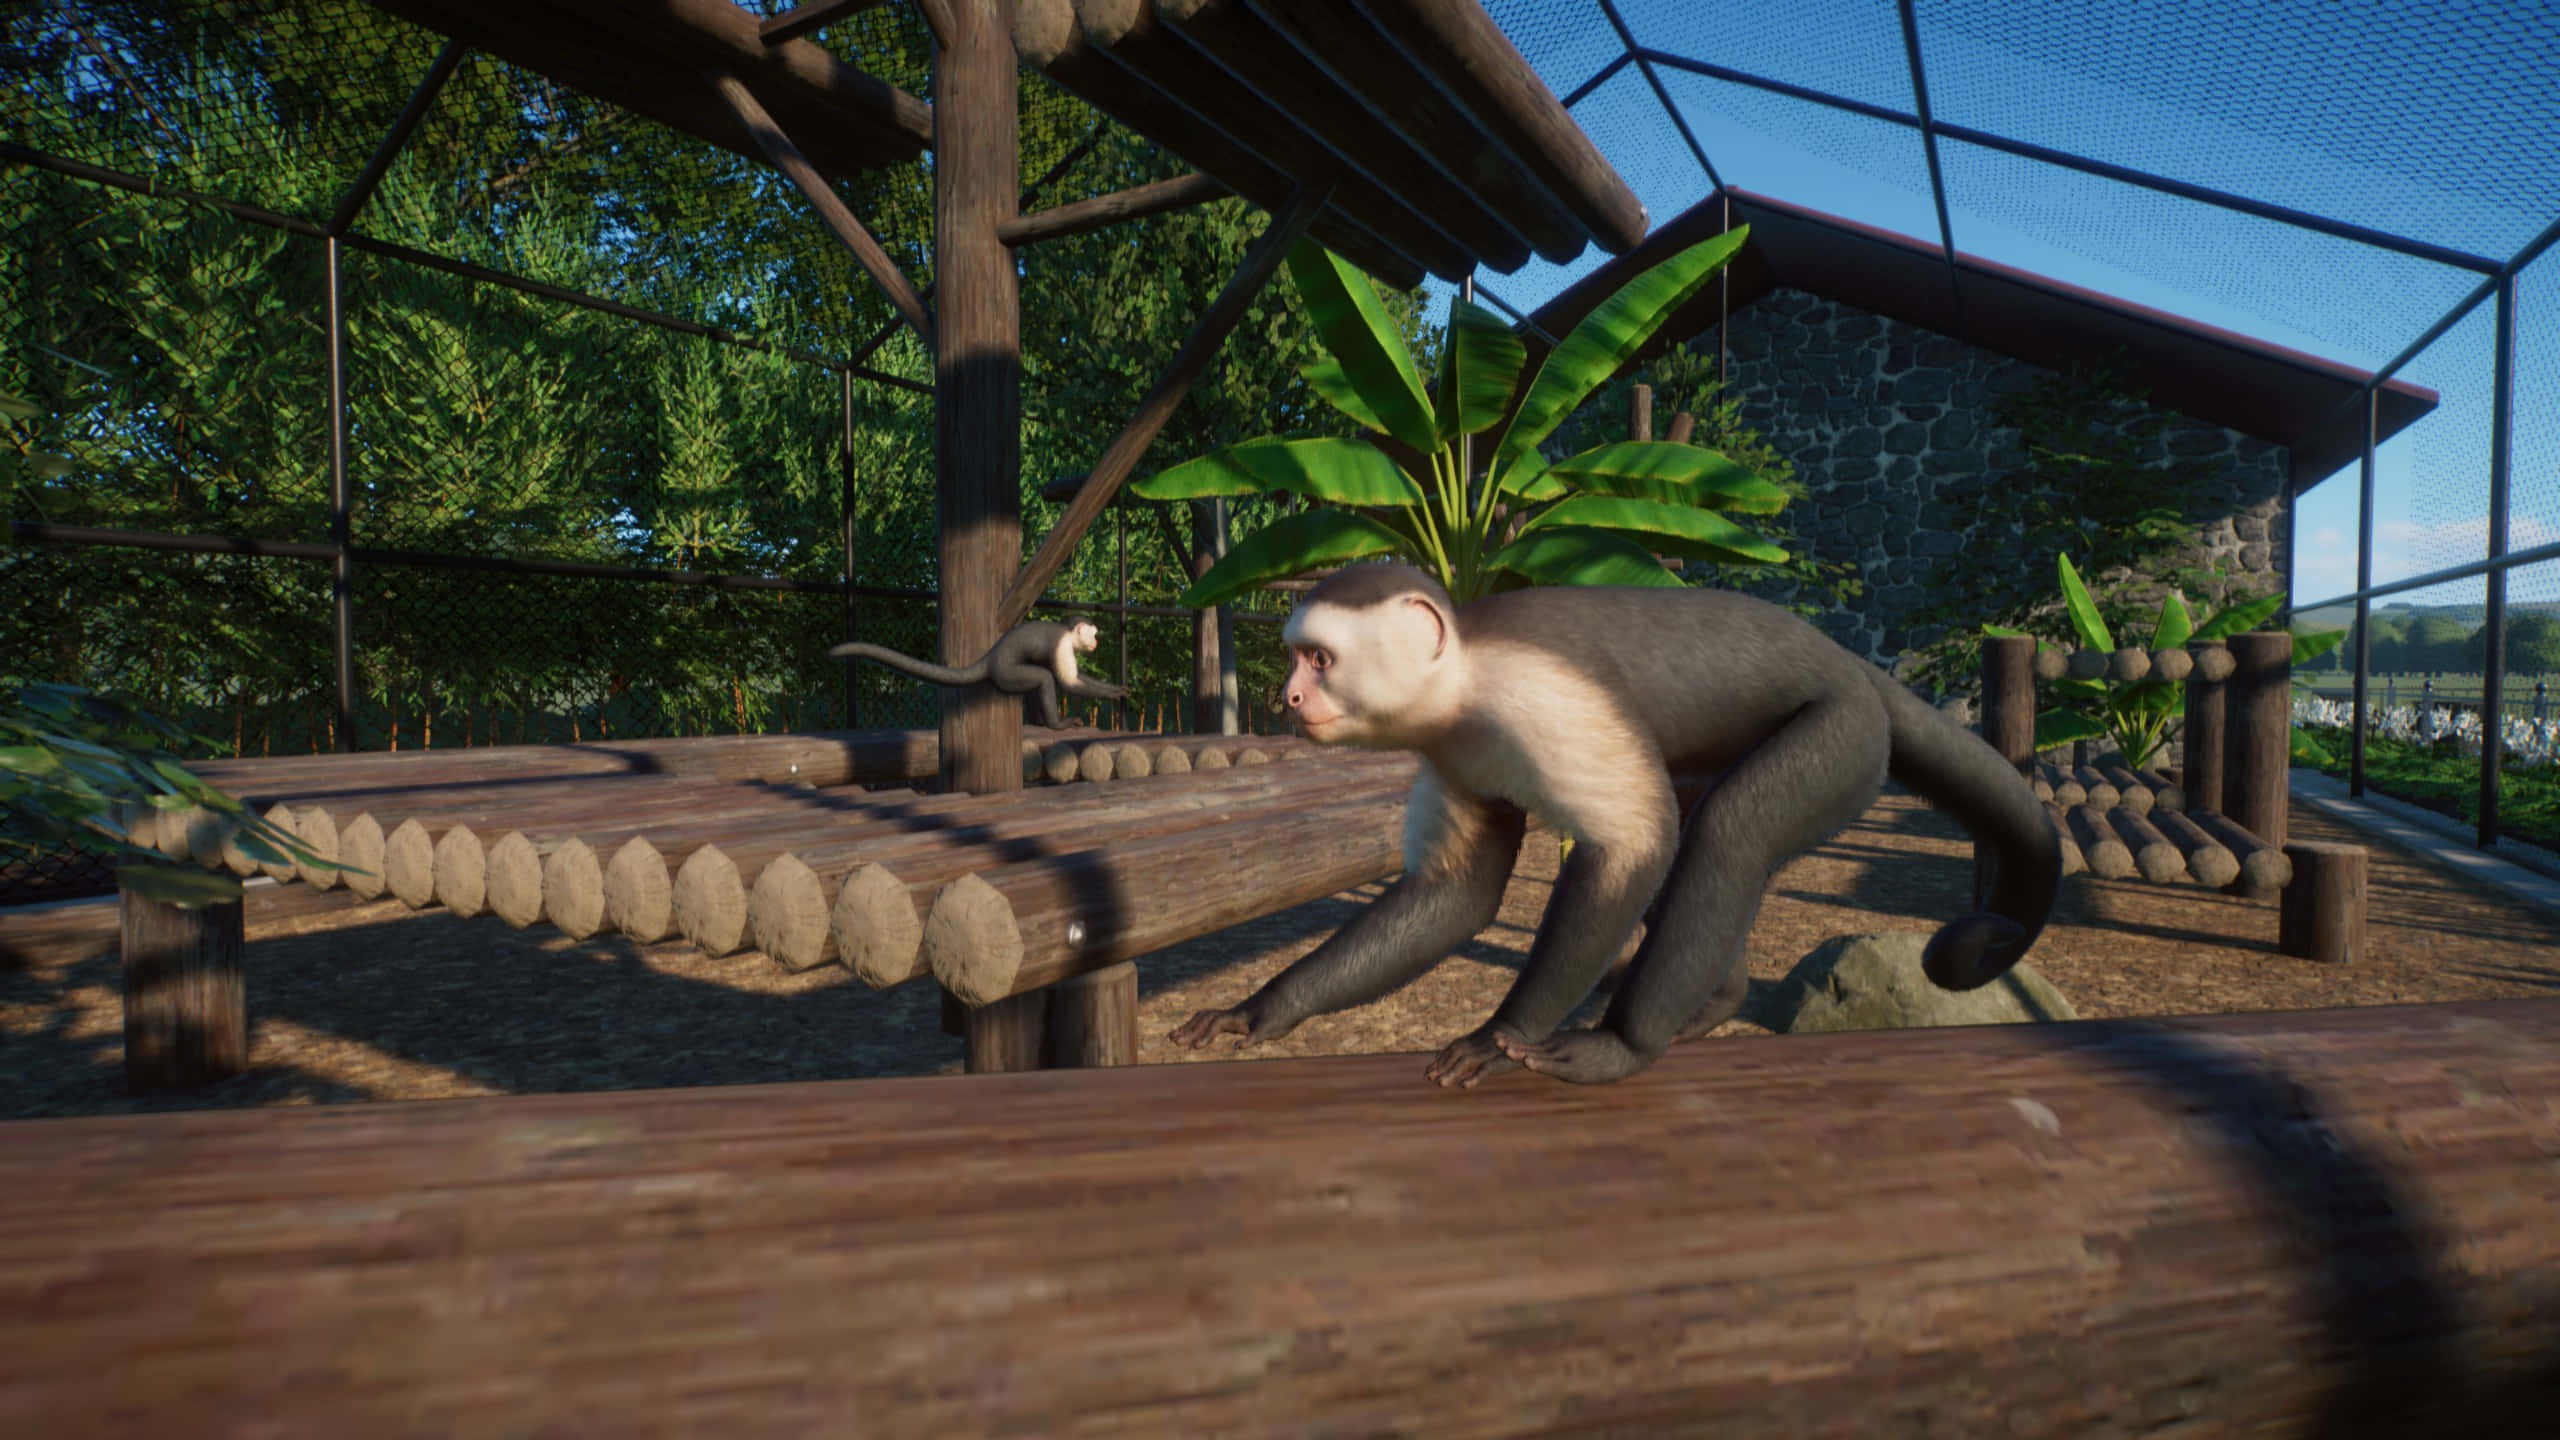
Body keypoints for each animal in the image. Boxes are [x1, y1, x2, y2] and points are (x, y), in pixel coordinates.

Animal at [830, 618, 1125, 729]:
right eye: (1093, 634)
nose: (1096, 642)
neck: (1067, 632)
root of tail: (991, 656)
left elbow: (1076, 678)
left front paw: (1116, 688)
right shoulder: (1063, 645)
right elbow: (1068, 682)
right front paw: (1114, 695)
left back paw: (1039, 722)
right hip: (1006, 672)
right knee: (1043, 678)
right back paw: (1055, 724)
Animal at [1167, 562, 2059, 1088]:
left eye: (1318, 660)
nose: (1288, 696)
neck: (1466, 683)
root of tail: (1847, 661)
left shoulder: (1538, 693)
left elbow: (1630, 846)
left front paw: (1505, 1032)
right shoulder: (1450, 749)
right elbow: (1457, 896)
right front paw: (1267, 1009)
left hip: (1845, 733)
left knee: (1728, 831)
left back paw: (1627, 1045)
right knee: (1705, 822)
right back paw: (1716, 1000)